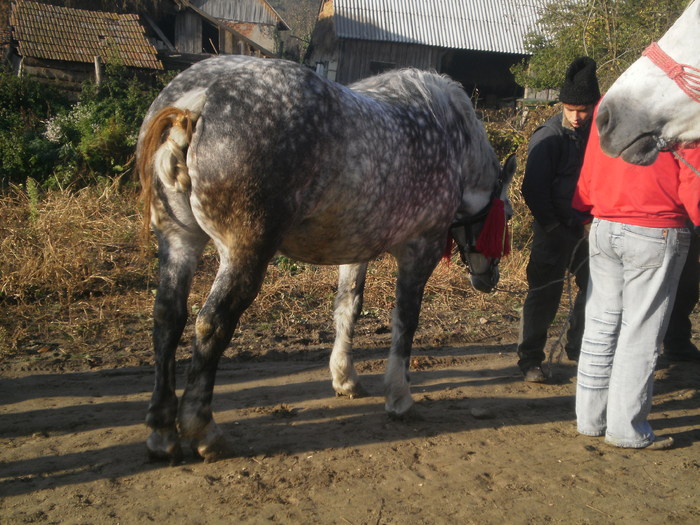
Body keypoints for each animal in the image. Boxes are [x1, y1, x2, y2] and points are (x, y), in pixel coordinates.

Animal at [138, 54, 520, 462]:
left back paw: (162, 432)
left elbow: (347, 308)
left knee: (167, 319)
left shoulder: (355, 250)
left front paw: (345, 378)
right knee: (212, 323)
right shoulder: (421, 250)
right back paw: (203, 430)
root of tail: (200, 97)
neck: (450, 137)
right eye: (508, 216)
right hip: (243, 254)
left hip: (179, 242)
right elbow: (406, 321)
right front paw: (399, 397)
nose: (489, 279)